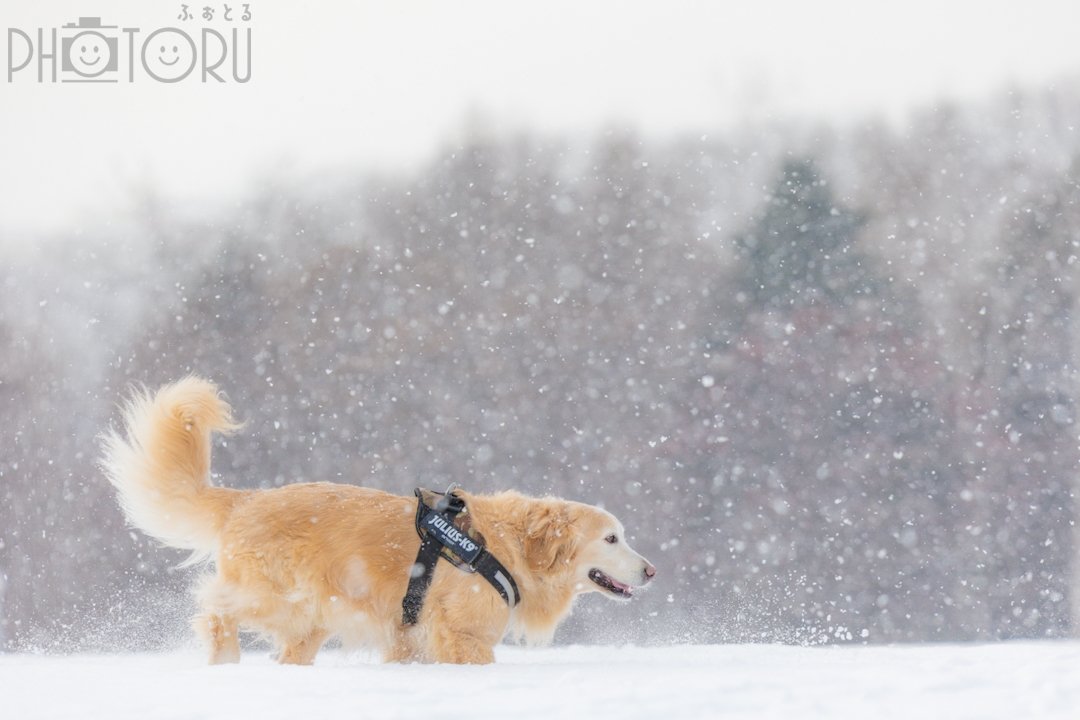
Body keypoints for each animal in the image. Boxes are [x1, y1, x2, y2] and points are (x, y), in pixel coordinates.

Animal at [101, 377, 652, 664]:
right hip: (281, 599)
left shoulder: (411, 639)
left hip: (311, 620)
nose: (651, 570)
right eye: (611, 538)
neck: (502, 547)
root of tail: (247, 499)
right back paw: (225, 660)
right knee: (214, 607)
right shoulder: (460, 636)